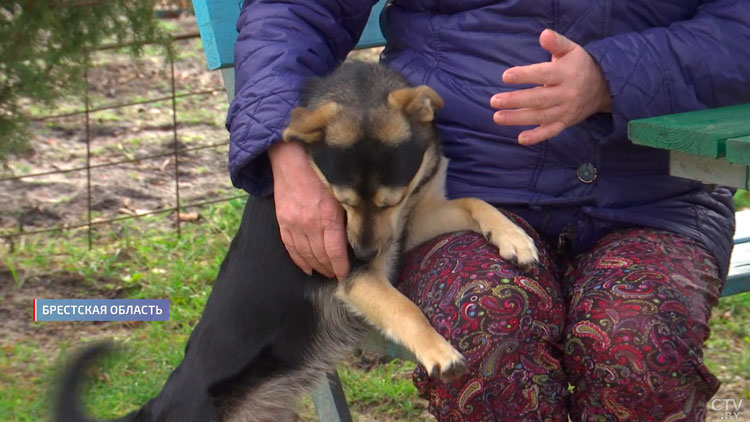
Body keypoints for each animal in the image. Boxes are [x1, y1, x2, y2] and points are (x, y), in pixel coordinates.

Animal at [54, 60, 540, 422]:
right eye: (341, 201)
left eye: (391, 200)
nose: (361, 253)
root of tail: (157, 405)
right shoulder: (354, 278)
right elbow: (405, 307)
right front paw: (438, 351)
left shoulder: (407, 224)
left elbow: (475, 202)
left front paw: (514, 239)